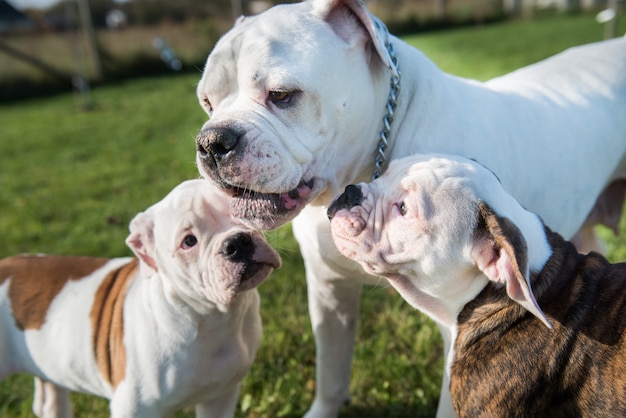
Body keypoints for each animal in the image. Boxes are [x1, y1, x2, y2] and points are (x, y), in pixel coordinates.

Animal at [0, 180, 280, 418]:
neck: (214, 318)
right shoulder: (135, 408)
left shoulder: (220, 396)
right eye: (189, 241)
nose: (237, 242)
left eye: (242, 211)